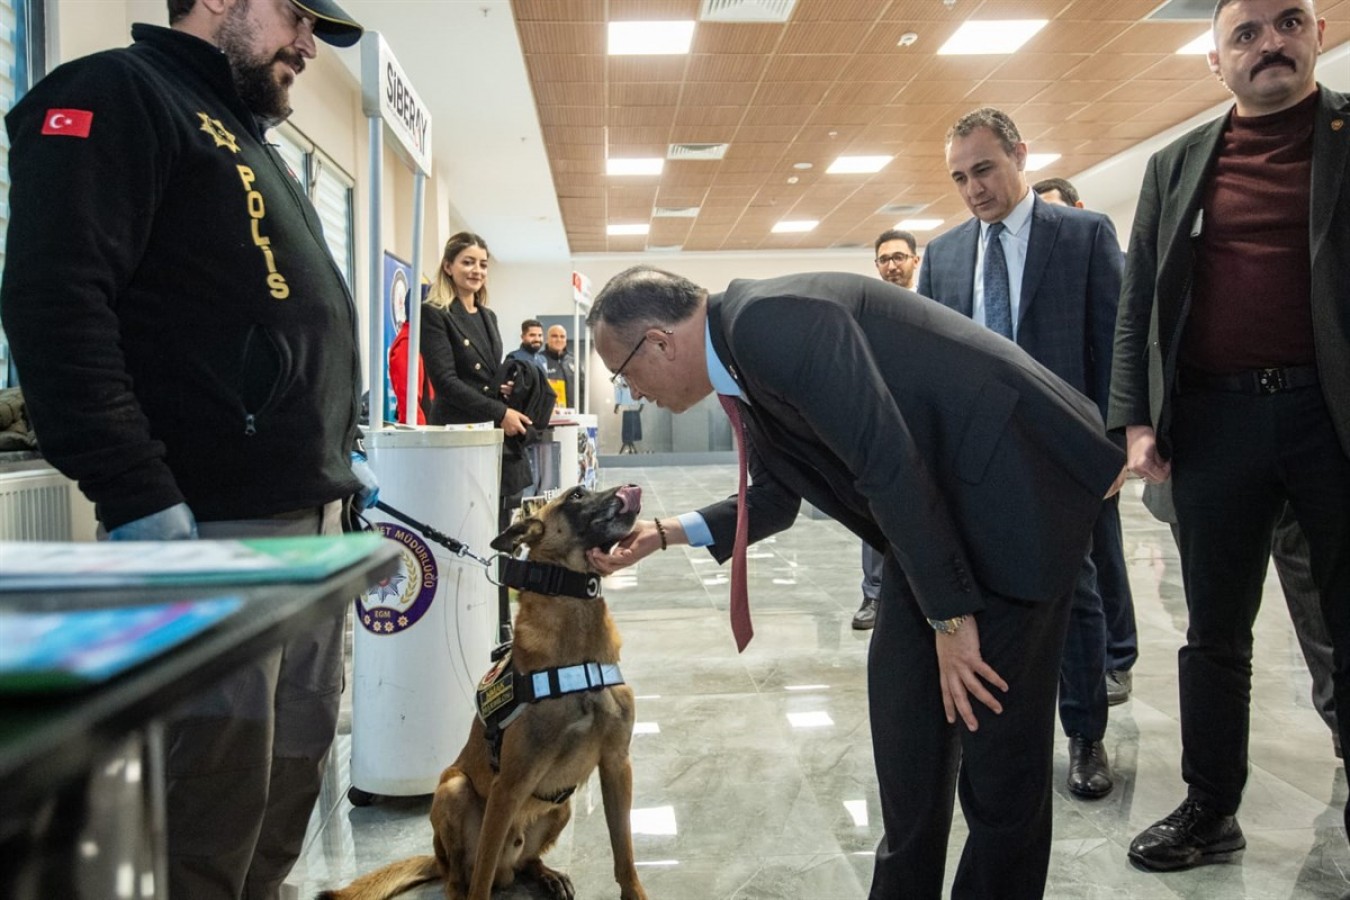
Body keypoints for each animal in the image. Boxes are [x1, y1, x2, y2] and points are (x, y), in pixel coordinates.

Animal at [318, 485, 650, 900]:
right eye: (576, 495)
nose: (632, 488)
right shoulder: (508, 786)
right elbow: (481, 879)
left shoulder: (617, 765)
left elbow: (625, 852)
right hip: (455, 791)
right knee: (462, 876)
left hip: (561, 808)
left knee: (525, 862)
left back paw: (547, 874)